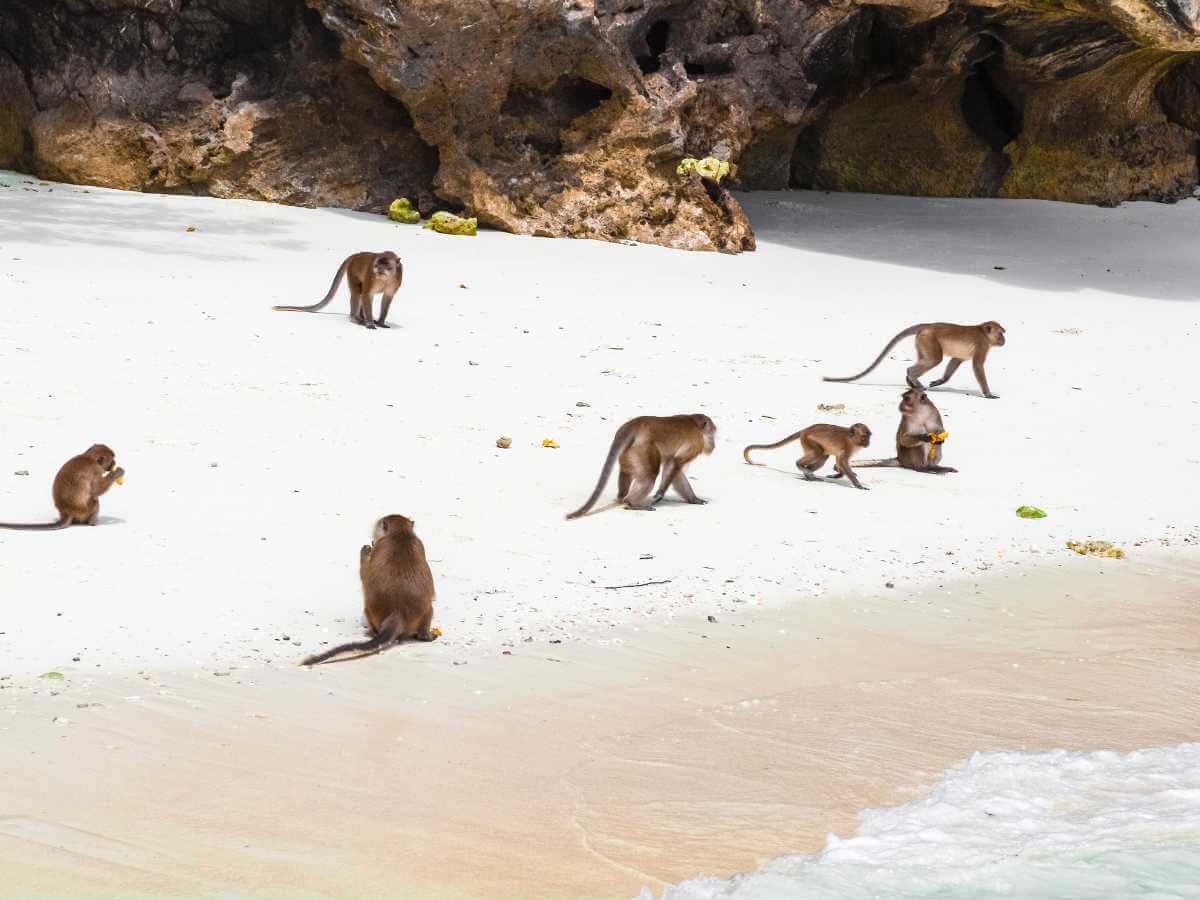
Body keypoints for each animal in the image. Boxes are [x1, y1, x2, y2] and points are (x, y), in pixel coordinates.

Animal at [273, 251, 403, 330]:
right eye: (377, 265)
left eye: (386, 266)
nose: (379, 270)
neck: (386, 278)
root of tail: (356, 255)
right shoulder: (371, 276)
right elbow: (367, 295)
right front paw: (370, 323)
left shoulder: (397, 279)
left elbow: (387, 298)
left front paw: (380, 322)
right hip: (352, 271)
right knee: (357, 294)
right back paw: (355, 318)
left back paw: (361, 317)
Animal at [302, 514, 437, 666]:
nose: (372, 540)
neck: (400, 534)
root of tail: (398, 612)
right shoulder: (419, 543)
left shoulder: (379, 547)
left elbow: (365, 574)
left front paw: (365, 550)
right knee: (429, 610)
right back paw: (426, 636)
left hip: (370, 611)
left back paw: (372, 632)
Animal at [566, 414, 716, 519]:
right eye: (713, 434)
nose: (714, 445)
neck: (696, 424)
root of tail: (632, 425)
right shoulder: (696, 442)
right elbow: (675, 463)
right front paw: (659, 494)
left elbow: (674, 469)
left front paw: (694, 499)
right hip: (642, 449)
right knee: (649, 475)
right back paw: (632, 502)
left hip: (628, 452)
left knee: (627, 472)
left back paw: (622, 498)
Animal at [743, 423, 872, 490]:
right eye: (864, 437)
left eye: (869, 436)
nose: (868, 443)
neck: (852, 439)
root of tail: (805, 429)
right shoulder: (847, 447)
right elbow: (842, 461)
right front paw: (858, 485)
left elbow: (839, 461)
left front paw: (837, 475)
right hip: (808, 440)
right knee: (819, 453)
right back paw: (800, 465)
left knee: (823, 456)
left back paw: (808, 474)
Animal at [824, 321, 1006, 399]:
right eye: (1000, 333)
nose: (1004, 340)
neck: (984, 333)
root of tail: (927, 326)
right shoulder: (982, 345)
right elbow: (977, 365)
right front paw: (988, 394)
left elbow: (955, 360)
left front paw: (940, 381)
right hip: (929, 340)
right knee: (934, 360)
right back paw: (912, 377)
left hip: (923, 341)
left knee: (928, 359)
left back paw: (911, 381)